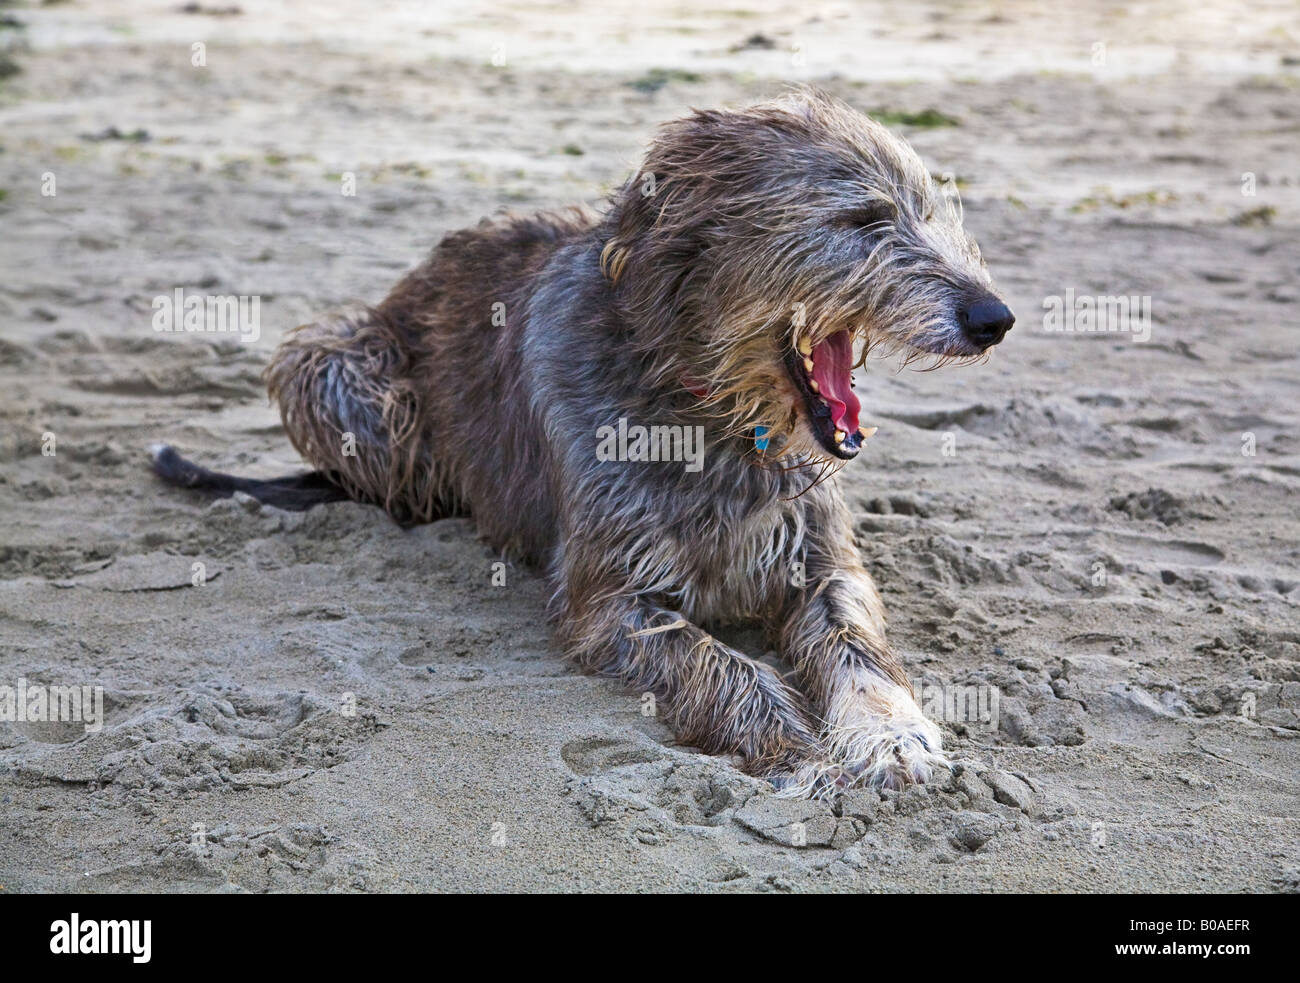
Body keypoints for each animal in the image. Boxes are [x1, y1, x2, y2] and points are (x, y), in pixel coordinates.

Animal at [154, 88, 1013, 795]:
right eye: (862, 219)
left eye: (928, 209)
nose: (994, 317)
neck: (711, 412)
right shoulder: (609, 599)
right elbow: (721, 663)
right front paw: (793, 747)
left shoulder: (822, 556)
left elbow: (856, 641)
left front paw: (892, 734)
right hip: (332, 364)